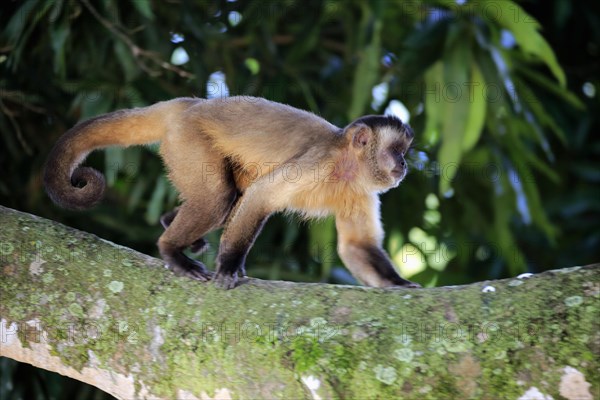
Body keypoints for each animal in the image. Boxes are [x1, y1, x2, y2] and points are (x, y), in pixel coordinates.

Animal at [44, 97, 420, 290]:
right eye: (395, 150)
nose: (403, 164)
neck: (346, 166)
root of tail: (190, 103)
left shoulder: (363, 191)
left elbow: (357, 246)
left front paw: (396, 283)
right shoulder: (318, 163)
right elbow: (262, 197)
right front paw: (228, 266)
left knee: (228, 198)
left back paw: (170, 222)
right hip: (188, 137)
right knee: (218, 199)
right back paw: (171, 250)